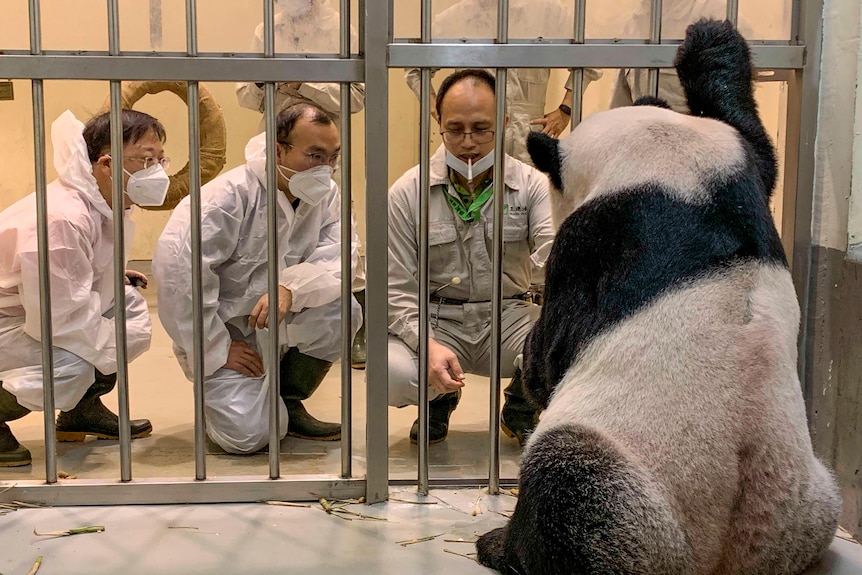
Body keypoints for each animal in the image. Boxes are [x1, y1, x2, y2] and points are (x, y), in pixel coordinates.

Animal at [476, 18, 840, 575]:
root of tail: (727, 553)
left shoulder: (593, 242)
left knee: (571, 484)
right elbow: (759, 145)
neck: (663, 164)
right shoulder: (735, 168)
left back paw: (503, 546)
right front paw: (709, 40)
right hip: (808, 501)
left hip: (638, 488)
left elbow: (554, 351)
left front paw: (534, 364)